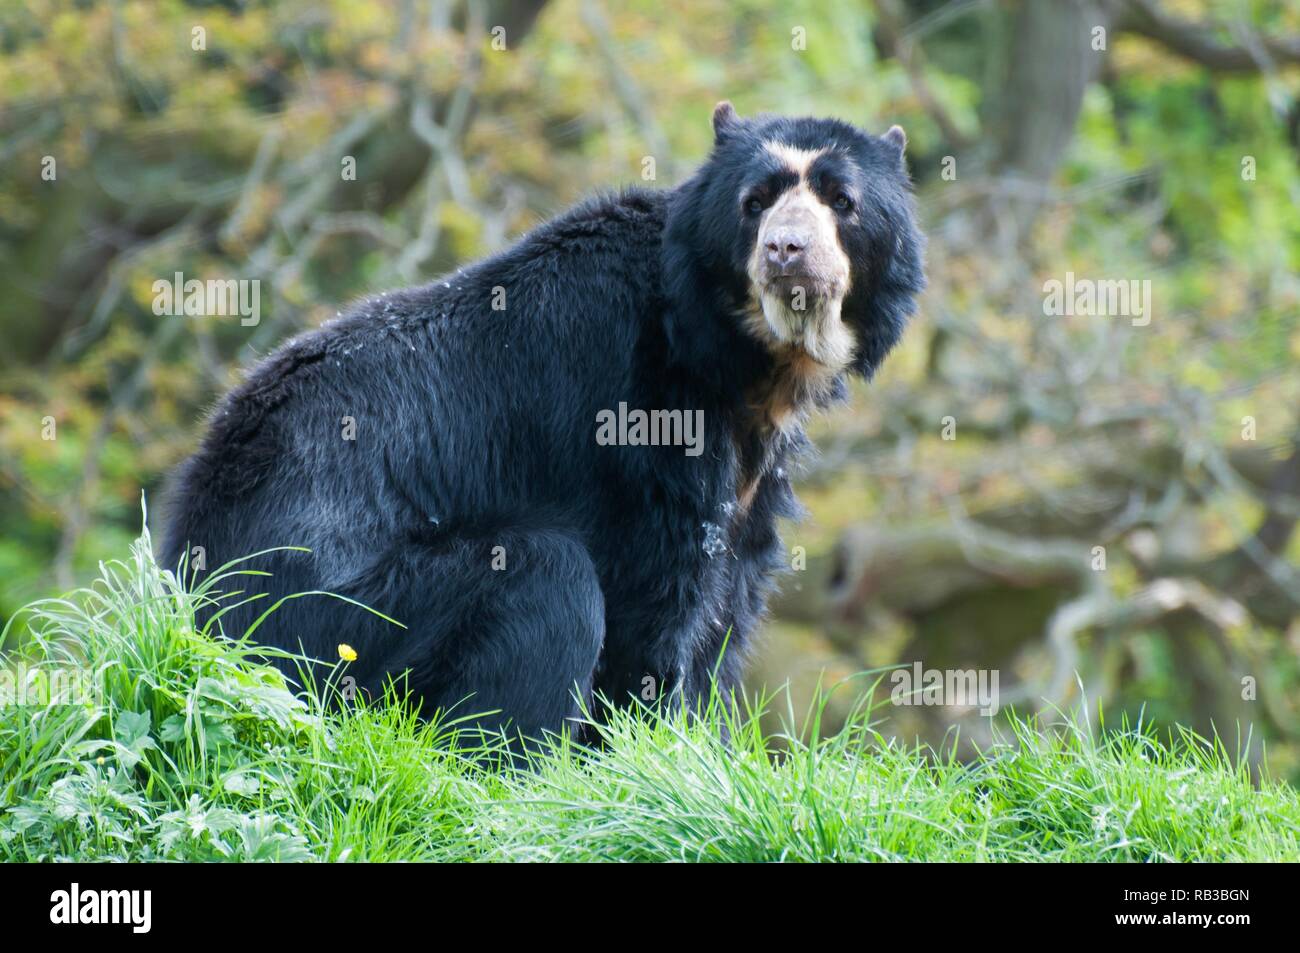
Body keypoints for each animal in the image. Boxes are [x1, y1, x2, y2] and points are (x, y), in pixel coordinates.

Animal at [161, 102, 925, 745]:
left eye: (842, 201)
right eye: (755, 202)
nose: (787, 251)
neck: (748, 361)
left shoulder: (751, 476)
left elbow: (727, 606)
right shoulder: (633, 423)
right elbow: (649, 604)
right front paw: (644, 755)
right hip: (326, 624)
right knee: (544, 578)